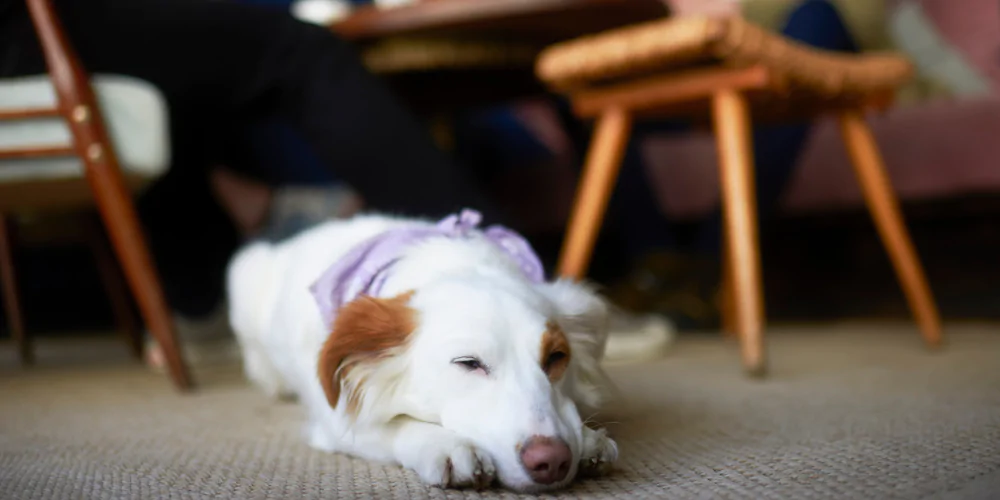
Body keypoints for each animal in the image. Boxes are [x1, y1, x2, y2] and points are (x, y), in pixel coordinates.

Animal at [227, 208, 616, 492]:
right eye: (468, 363)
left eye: (556, 358)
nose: (552, 461)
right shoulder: (336, 418)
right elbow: (394, 425)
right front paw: (447, 445)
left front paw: (588, 439)